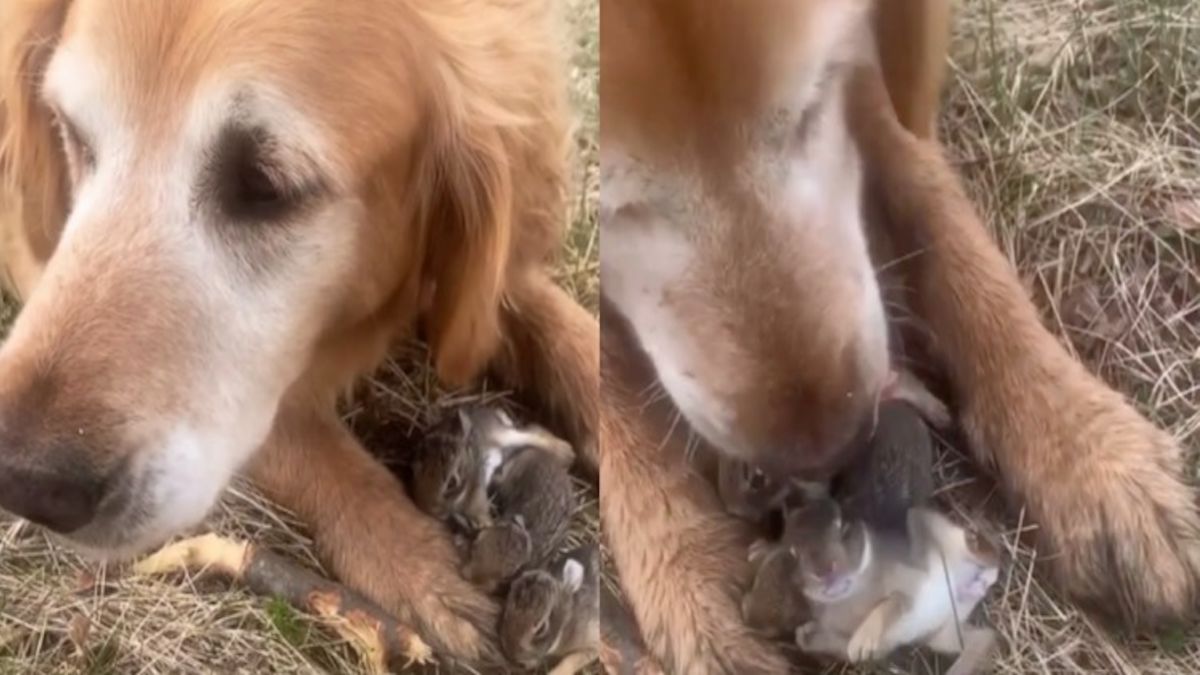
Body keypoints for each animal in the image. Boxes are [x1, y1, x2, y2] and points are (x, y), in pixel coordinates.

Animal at [600, 1, 1200, 667]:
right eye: (610, 203)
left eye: (813, 101)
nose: (836, 446)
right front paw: (688, 573)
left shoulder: (867, 63)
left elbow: (935, 208)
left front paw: (1089, 451)